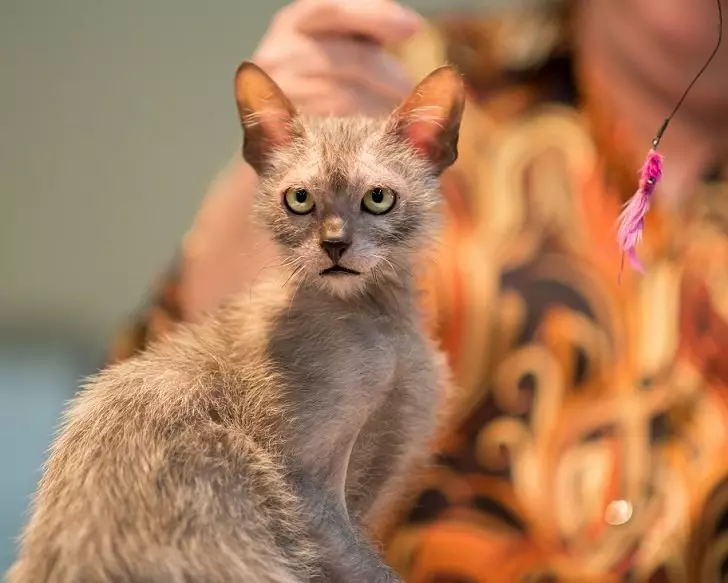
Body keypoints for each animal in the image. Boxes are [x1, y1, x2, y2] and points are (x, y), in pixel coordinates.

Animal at [7, 60, 466, 583]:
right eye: (300, 199)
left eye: (378, 198)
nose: (334, 243)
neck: (384, 325)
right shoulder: (302, 481)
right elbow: (366, 566)